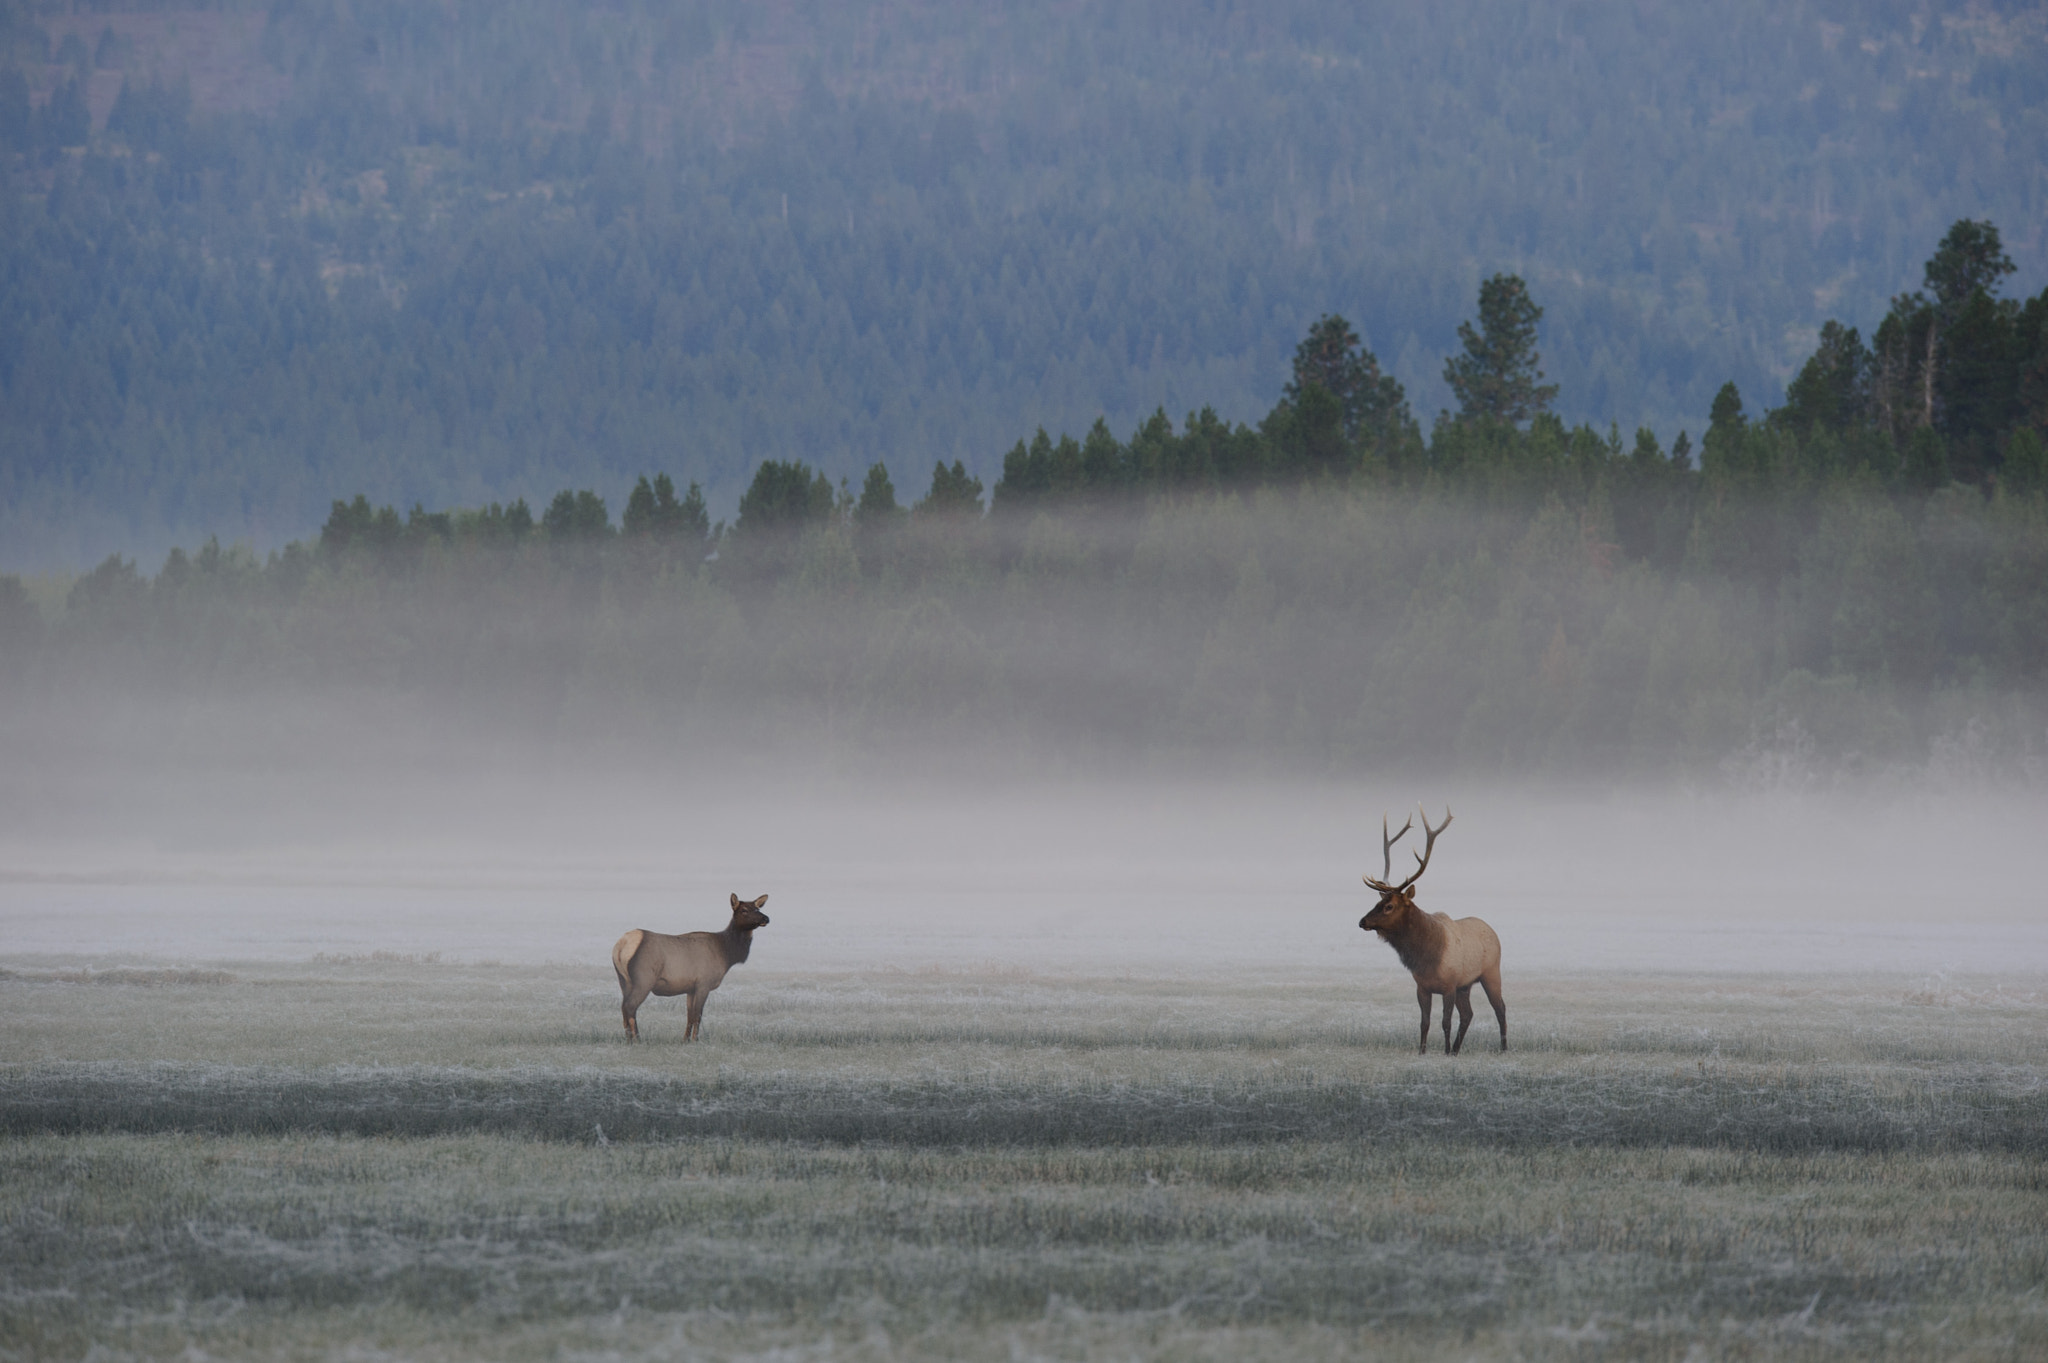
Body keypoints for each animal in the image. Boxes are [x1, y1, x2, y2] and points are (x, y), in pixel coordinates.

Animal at [612, 893, 770, 1041]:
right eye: (744, 910)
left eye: (757, 908)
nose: (766, 918)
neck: (726, 954)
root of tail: (621, 946)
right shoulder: (703, 984)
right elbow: (698, 1015)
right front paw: (695, 1040)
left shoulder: (690, 988)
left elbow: (689, 1016)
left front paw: (685, 1040)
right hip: (644, 979)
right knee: (630, 1006)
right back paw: (638, 1040)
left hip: (624, 981)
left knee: (624, 1008)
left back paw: (629, 1040)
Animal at [1358, 807, 1506, 1054]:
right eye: (1378, 902)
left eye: (1389, 906)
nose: (1362, 921)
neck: (1426, 957)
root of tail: (1492, 931)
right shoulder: (1422, 987)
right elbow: (1424, 1022)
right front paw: (1423, 1051)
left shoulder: (1450, 985)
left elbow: (1445, 1021)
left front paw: (1444, 1051)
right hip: (1466, 985)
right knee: (1468, 1014)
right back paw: (1457, 1050)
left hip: (1491, 972)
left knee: (1500, 1008)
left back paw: (1502, 1047)